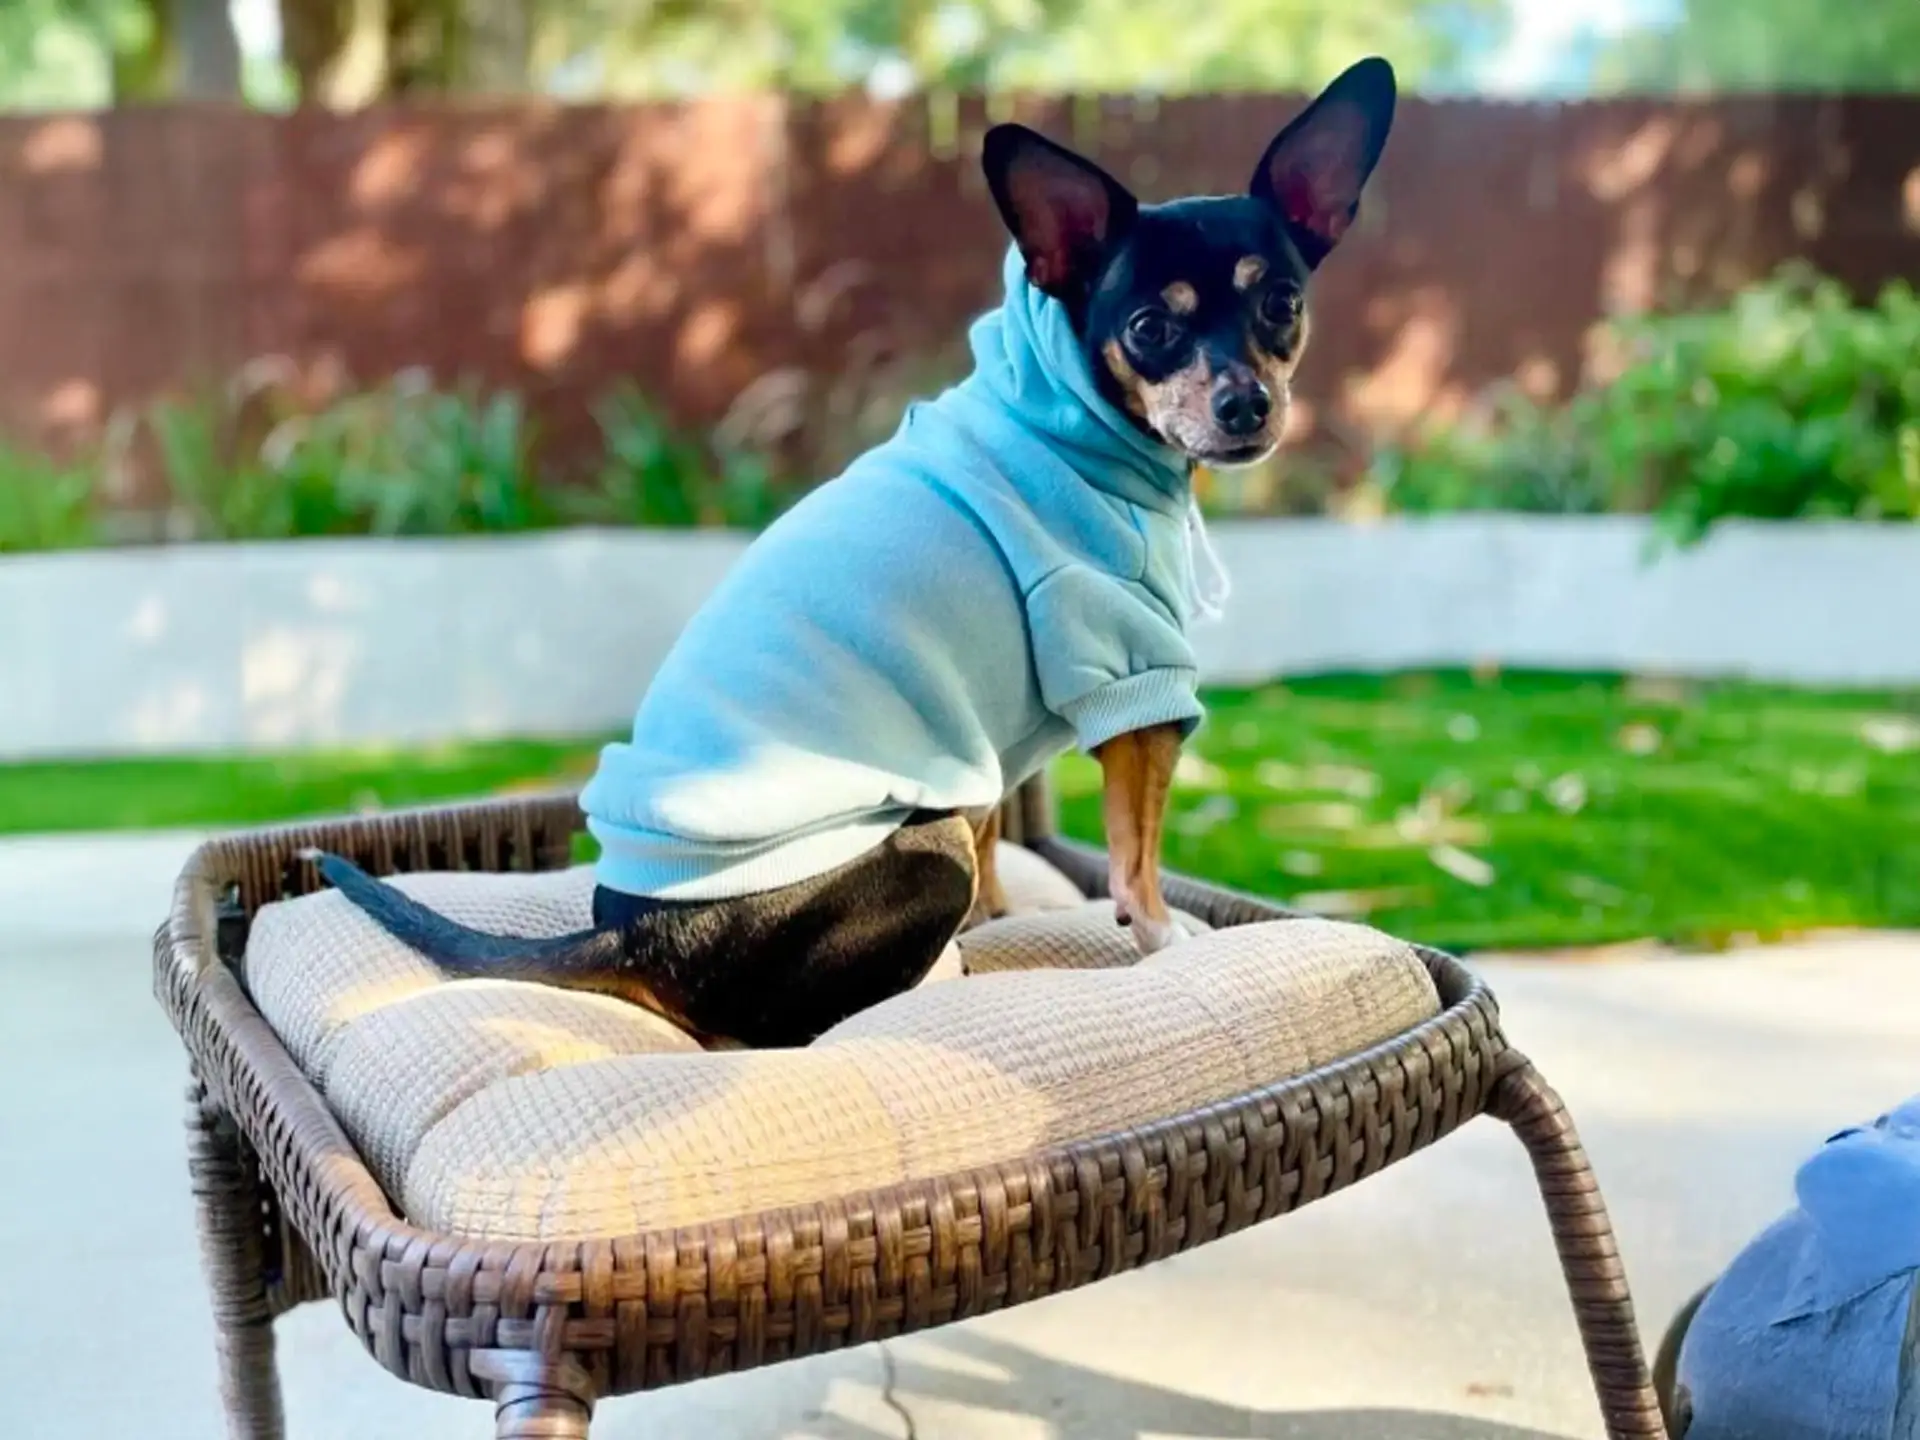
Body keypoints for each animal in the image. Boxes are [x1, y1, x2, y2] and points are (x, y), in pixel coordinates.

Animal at [314, 59, 1397, 1052]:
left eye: (1282, 305)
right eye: (1149, 327)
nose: (1247, 405)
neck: (1076, 423)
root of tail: (631, 936)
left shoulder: (979, 755)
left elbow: (1003, 832)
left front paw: (1005, 912)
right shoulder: (1135, 687)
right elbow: (1137, 855)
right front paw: (1164, 941)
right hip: (920, 841)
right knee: (792, 1028)